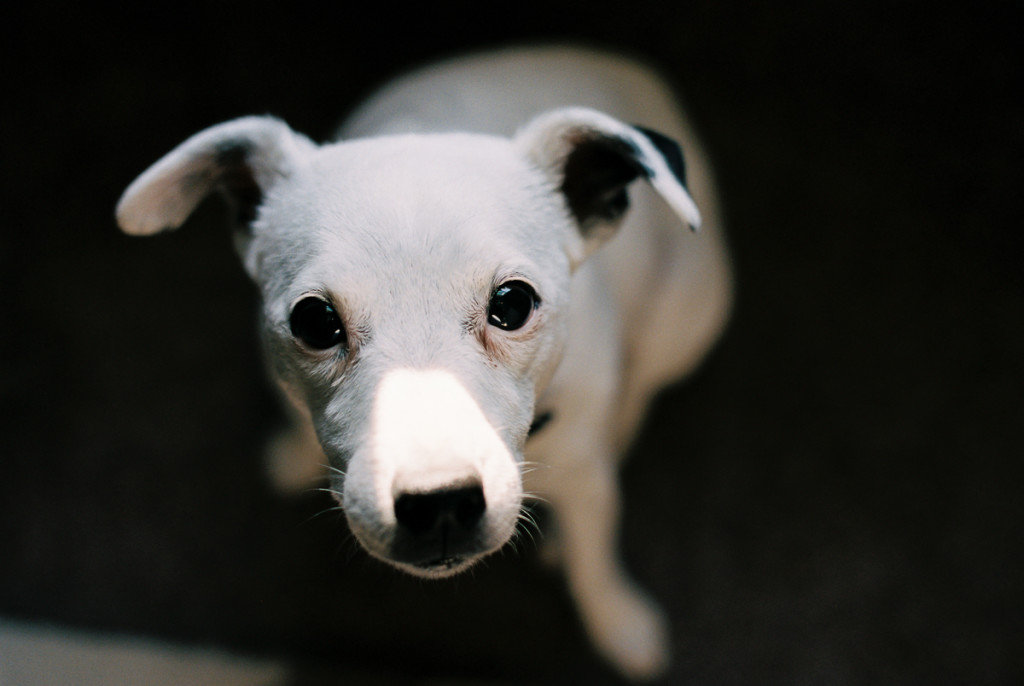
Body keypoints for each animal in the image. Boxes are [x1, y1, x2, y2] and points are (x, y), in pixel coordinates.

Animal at [116, 45, 733, 679]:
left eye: (513, 303)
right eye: (314, 321)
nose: (440, 506)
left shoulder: (588, 471)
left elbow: (596, 553)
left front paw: (617, 619)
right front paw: (293, 455)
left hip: (685, 324)